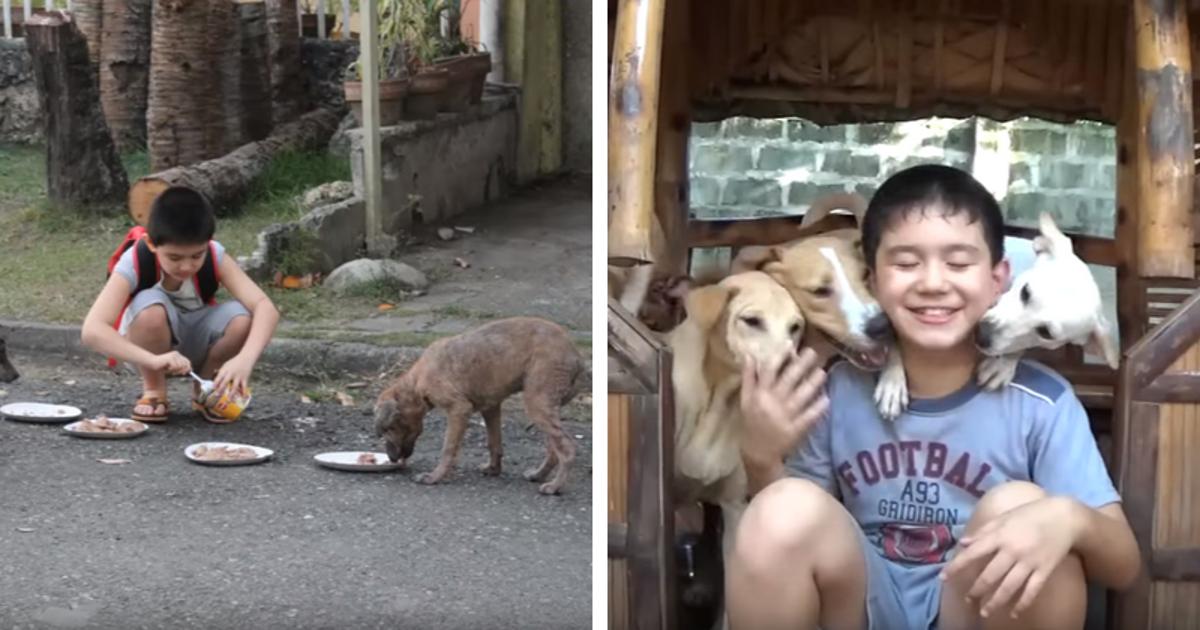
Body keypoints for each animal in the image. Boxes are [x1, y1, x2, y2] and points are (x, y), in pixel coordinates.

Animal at [372, 316, 583, 494]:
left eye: (388, 429)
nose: (392, 459)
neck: (416, 383)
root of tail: (576, 354)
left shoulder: (459, 409)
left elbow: (448, 448)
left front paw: (435, 477)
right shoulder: (490, 407)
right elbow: (494, 442)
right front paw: (493, 469)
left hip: (537, 401)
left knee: (566, 448)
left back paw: (555, 486)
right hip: (545, 406)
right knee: (554, 448)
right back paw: (539, 475)